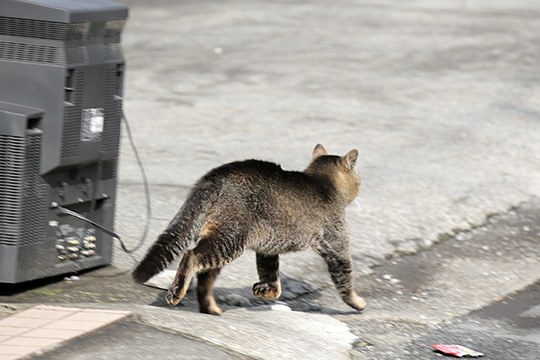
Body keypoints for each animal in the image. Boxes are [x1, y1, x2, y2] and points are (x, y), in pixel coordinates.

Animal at [132, 145, 364, 314]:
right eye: (358, 178)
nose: (361, 183)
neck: (322, 182)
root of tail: (216, 175)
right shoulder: (336, 246)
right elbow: (345, 280)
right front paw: (357, 302)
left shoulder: (268, 249)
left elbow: (271, 276)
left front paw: (266, 291)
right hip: (230, 240)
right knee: (191, 256)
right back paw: (177, 293)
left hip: (220, 241)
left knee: (204, 277)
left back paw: (210, 309)